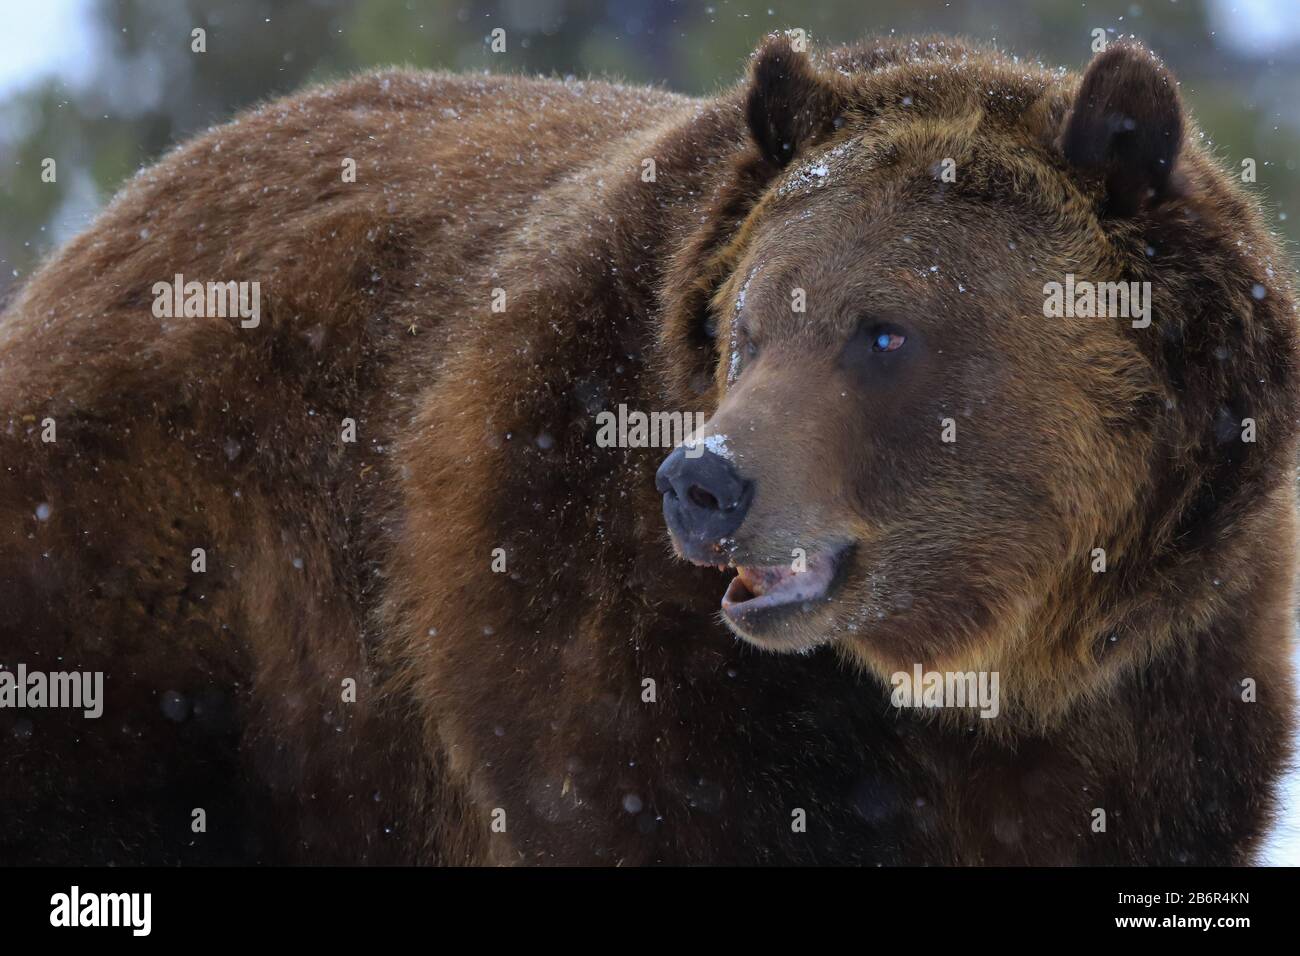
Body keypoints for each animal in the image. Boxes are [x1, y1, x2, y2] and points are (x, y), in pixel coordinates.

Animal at [0, 33, 1294, 863]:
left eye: (883, 329)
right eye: (747, 325)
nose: (705, 481)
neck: (983, 673)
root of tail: (96, 236)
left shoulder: (1162, 690)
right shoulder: (606, 633)